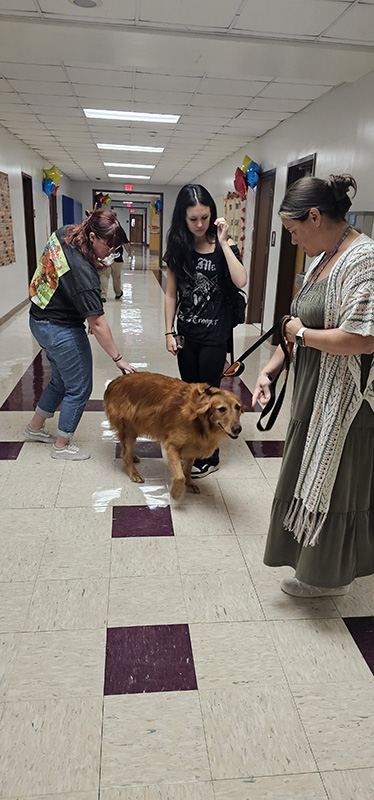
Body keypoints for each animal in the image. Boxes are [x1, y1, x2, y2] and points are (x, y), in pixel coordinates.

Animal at [103, 372, 244, 496]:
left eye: (237, 407)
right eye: (222, 409)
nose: (237, 429)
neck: (200, 421)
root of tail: (113, 382)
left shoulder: (193, 447)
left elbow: (187, 470)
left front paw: (189, 483)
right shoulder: (172, 446)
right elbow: (180, 476)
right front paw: (176, 491)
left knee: (125, 450)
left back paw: (132, 457)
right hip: (129, 429)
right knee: (124, 453)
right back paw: (134, 473)